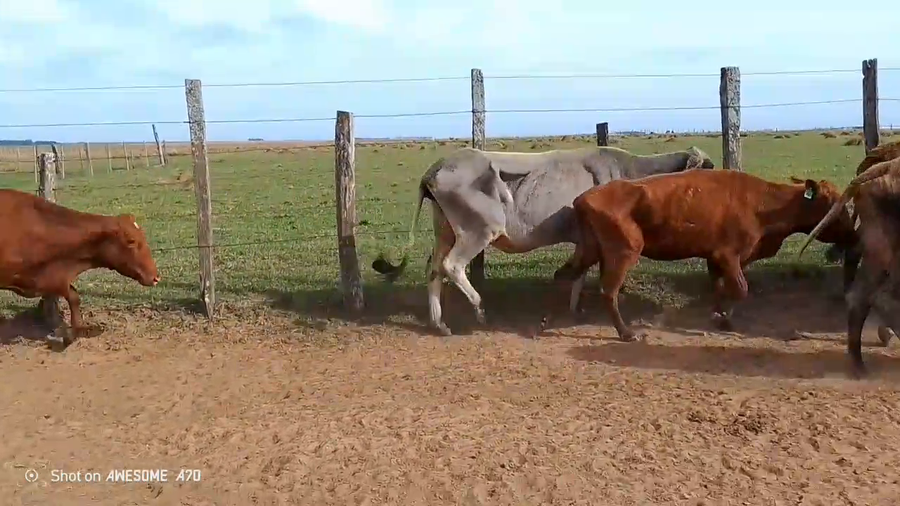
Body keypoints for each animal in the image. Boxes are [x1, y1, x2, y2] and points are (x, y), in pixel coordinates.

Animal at [371, 145, 715, 335]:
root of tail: (436, 168)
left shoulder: (583, 240)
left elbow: (578, 275)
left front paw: (574, 308)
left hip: (445, 229)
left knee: (433, 268)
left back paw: (439, 324)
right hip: (480, 229)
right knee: (452, 266)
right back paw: (479, 311)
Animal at [541, 169, 857, 342]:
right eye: (834, 203)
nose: (852, 231)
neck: (764, 204)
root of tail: (583, 197)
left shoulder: (714, 258)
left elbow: (718, 288)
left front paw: (717, 314)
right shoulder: (728, 255)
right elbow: (741, 289)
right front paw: (724, 320)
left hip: (589, 250)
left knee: (562, 275)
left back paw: (547, 320)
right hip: (624, 252)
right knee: (608, 291)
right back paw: (627, 333)